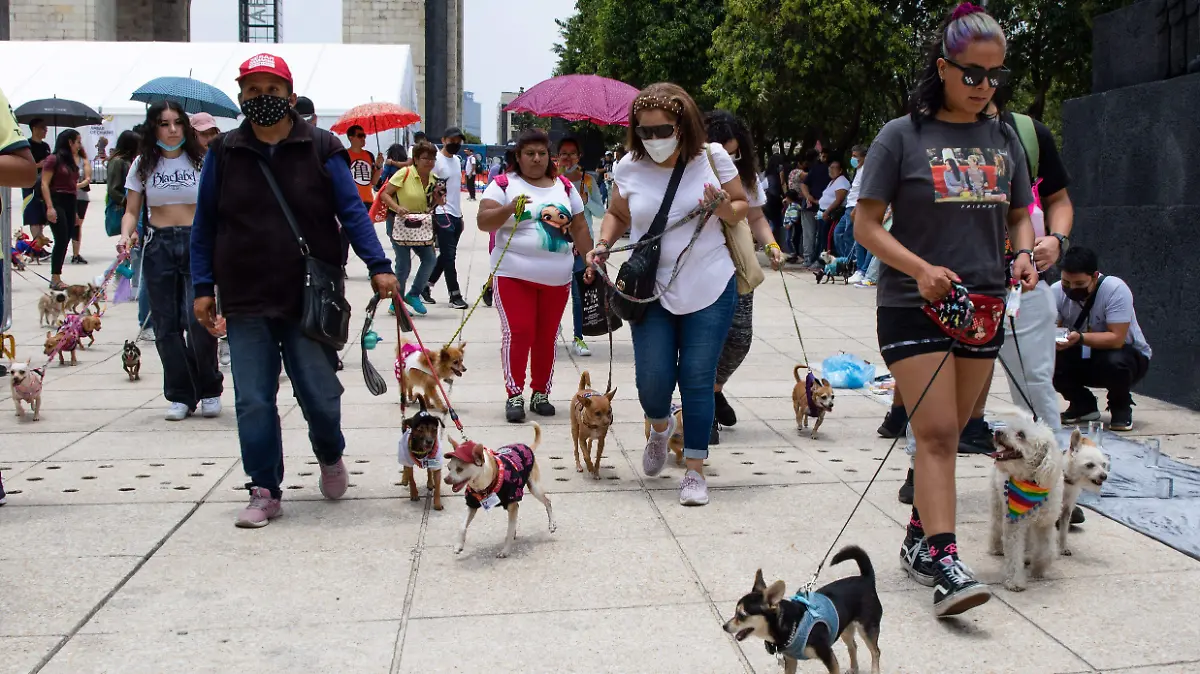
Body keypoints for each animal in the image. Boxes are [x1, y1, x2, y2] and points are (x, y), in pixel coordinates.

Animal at [988, 414, 1065, 587]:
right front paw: (1014, 582)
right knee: (996, 526)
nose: (997, 432)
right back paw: (996, 547)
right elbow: (1014, 553)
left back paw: (1029, 554)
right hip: (997, 503)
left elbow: (1047, 550)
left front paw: (1039, 568)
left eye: (1021, 435)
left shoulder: (1046, 523)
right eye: (1009, 426)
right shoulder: (1014, 523)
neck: (1033, 482)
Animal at [1056, 426, 1108, 554]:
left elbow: (1063, 530)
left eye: (1103, 464)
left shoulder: (1066, 510)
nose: (1104, 476)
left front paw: (1062, 547)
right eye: (1089, 465)